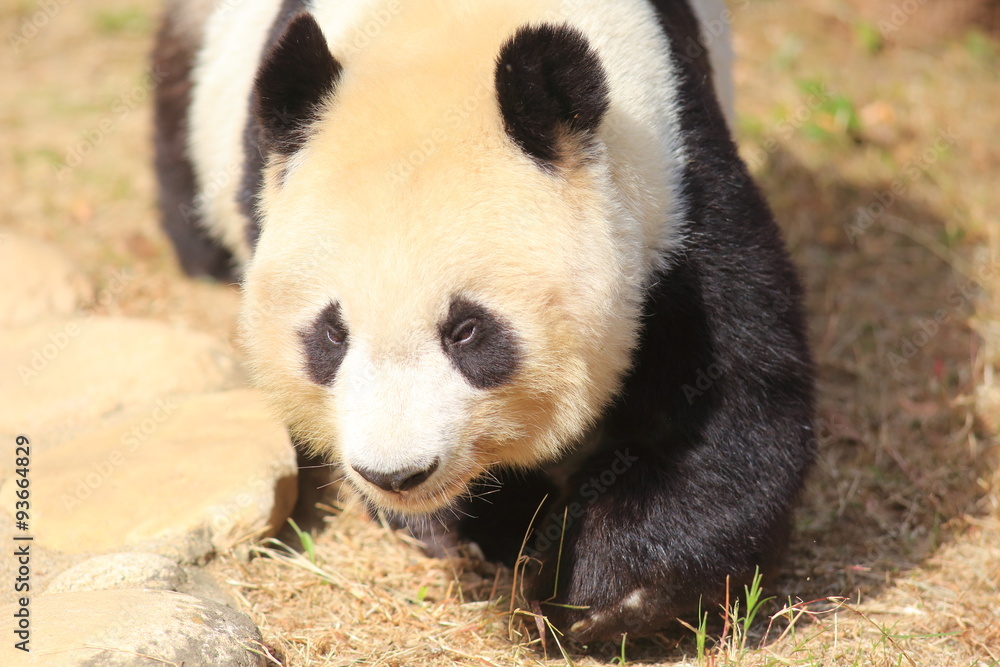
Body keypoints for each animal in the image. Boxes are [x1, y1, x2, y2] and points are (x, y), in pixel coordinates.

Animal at [153, 0, 814, 643]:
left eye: (466, 330)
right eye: (332, 334)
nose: (397, 474)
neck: (449, 34)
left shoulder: (676, 173)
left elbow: (730, 398)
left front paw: (602, 588)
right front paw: (498, 527)